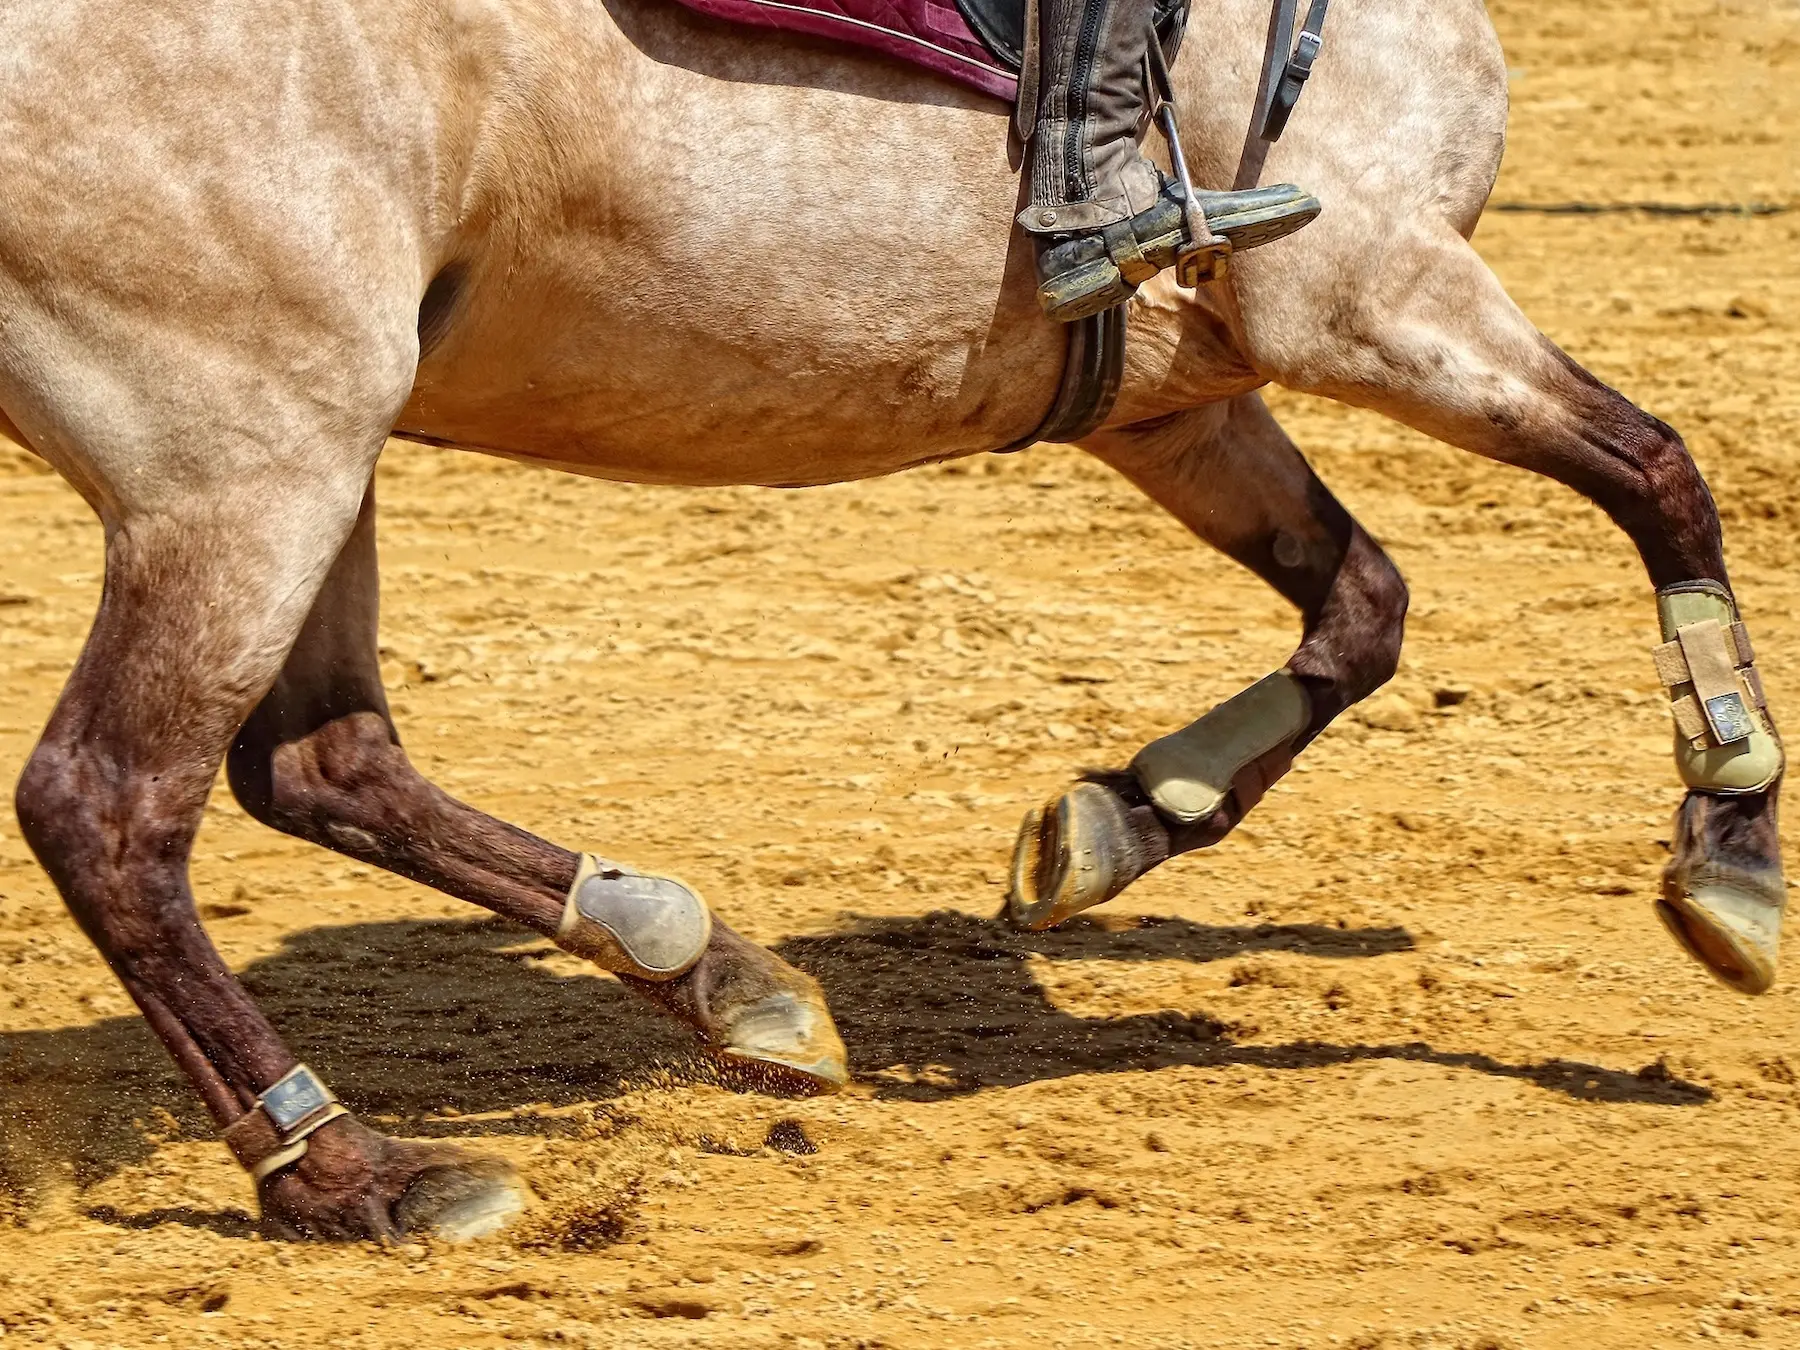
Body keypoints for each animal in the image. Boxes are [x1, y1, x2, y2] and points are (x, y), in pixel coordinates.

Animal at [0, 0, 1778, 1245]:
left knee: (325, 762)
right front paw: (1731, 851)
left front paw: (1115, 823)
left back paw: (717, 977)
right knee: (112, 807)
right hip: (254, 458)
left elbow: (1363, 603)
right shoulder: (1379, 300)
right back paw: (353, 1168)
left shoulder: (1178, 394)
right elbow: (1663, 480)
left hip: (322, 448)